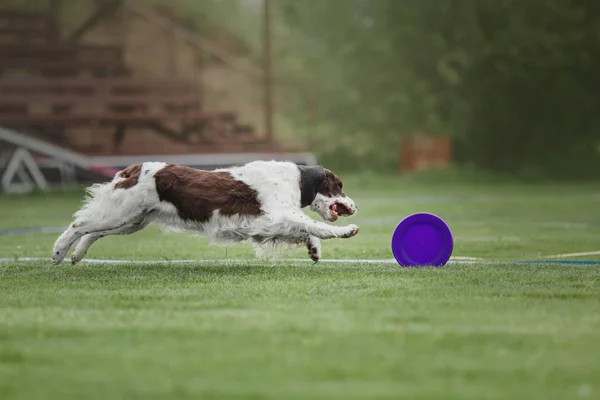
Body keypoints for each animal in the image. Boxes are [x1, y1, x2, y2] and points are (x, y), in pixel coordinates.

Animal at [51, 159, 356, 266]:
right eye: (339, 186)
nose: (354, 205)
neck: (296, 179)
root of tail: (134, 169)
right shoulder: (275, 215)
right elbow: (315, 225)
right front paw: (347, 231)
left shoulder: (265, 225)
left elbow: (307, 230)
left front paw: (314, 250)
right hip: (122, 214)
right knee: (79, 225)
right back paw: (57, 253)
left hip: (130, 221)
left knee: (93, 232)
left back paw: (76, 256)